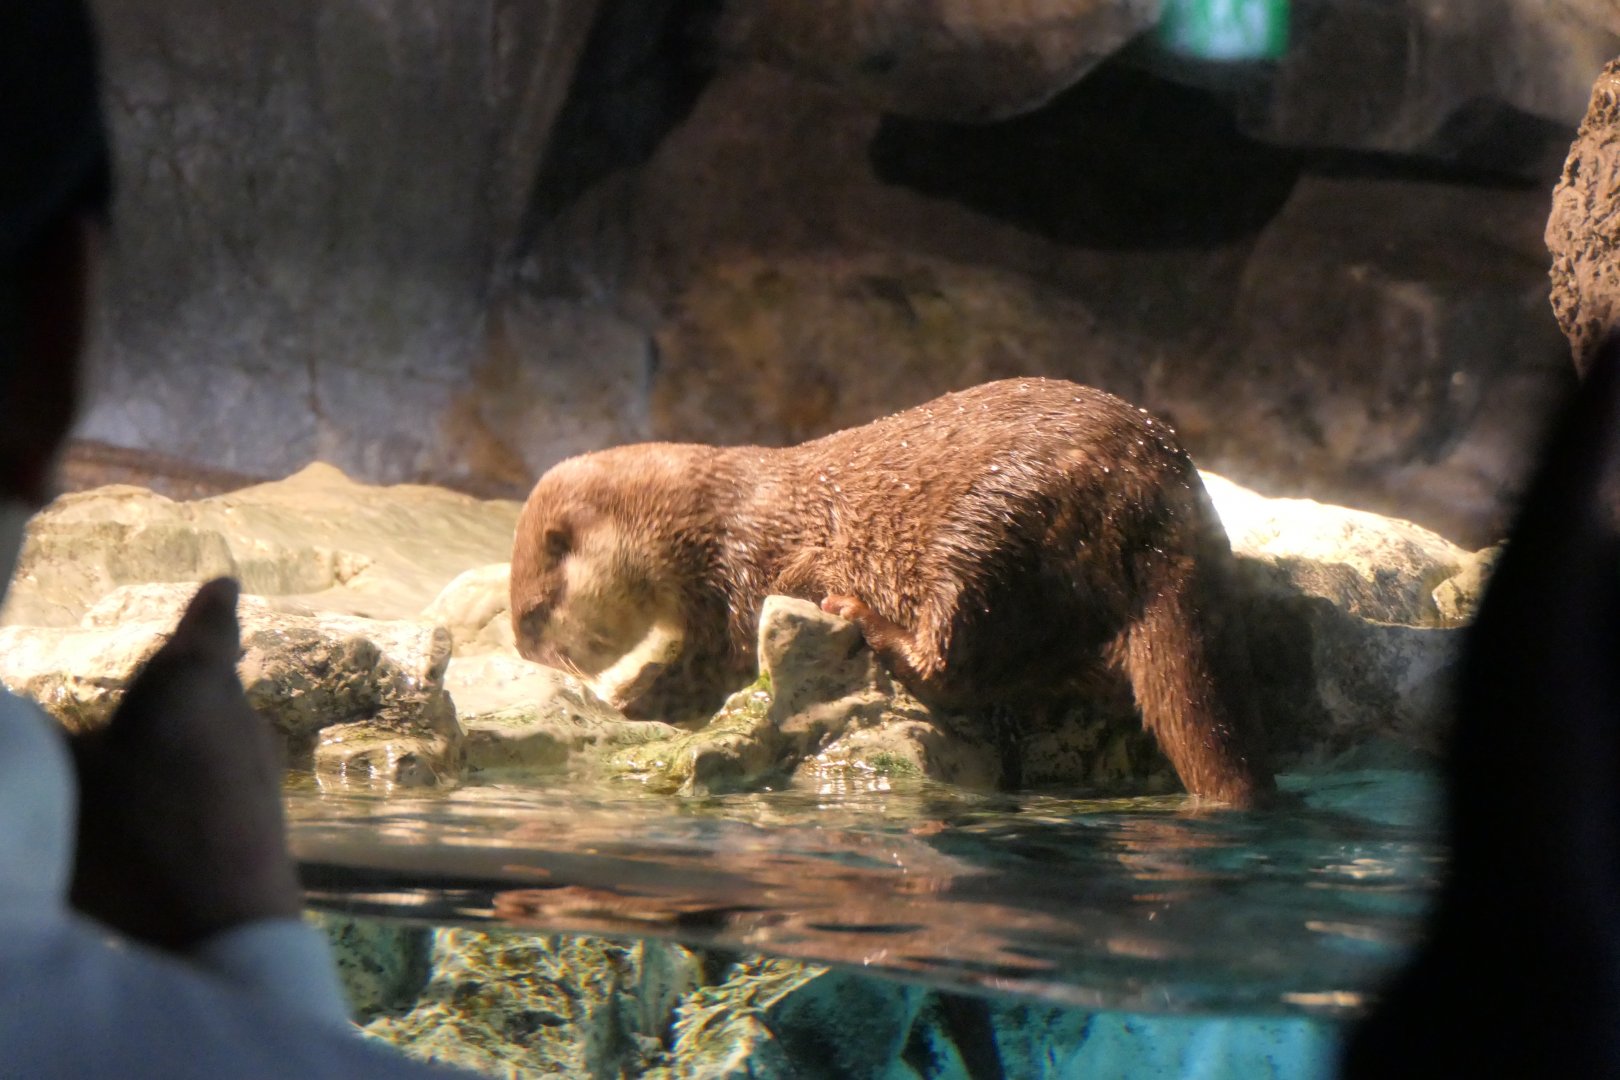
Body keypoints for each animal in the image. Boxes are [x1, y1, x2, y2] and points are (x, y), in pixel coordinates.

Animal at [510, 378, 1272, 806]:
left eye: (533, 613)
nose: (525, 652)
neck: (715, 516)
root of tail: (1157, 512)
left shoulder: (738, 576)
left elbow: (709, 667)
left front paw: (630, 698)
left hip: (990, 528)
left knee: (951, 658)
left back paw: (860, 616)